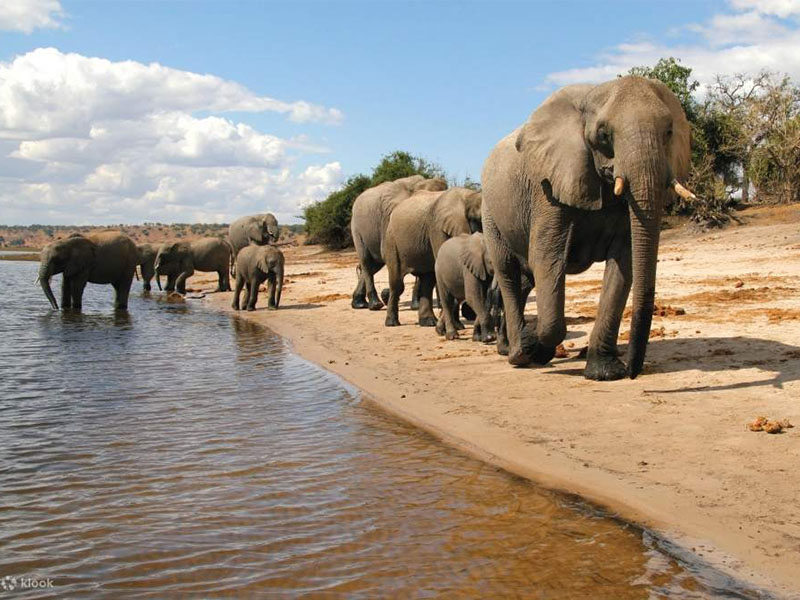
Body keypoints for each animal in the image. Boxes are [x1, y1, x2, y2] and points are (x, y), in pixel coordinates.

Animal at [350, 175, 448, 310]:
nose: (439, 306)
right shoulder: (390, 217)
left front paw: (416, 306)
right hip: (356, 228)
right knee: (367, 262)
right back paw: (375, 304)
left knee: (374, 265)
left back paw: (359, 303)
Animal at [383, 187, 482, 327]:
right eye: (478, 219)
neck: (469, 196)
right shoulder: (437, 228)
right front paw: (455, 327)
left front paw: (457, 326)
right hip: (391, 240)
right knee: (397, 283)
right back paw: (392, 323)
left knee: (427, 282)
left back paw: (428, 322)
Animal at [481, 75, 692, 381]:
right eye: (603, 135)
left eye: (668, 131)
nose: (633, 371)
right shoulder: (548, 189)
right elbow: (547, 258)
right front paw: (538, 350)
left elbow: (624, 263)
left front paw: (605, 373)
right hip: (490, 212)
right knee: (508, 270)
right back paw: (519, 354)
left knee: (524, 280)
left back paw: (512, 348)